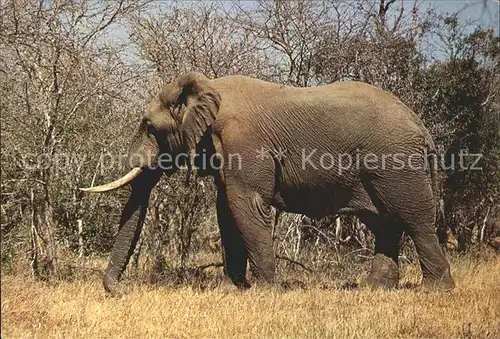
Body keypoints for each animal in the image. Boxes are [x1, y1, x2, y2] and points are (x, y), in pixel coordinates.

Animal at [83, 71, 458, 294]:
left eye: (149, 126)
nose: (121, 291)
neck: (208, 88)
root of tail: (422, 128)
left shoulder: (244, 143)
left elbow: (246, 206)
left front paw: (266, 292)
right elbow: (226, 211)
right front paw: (230, 291)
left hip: (395, 162)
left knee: (414, 220)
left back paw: (438, 291)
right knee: (385, 223)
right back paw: (375, 289)